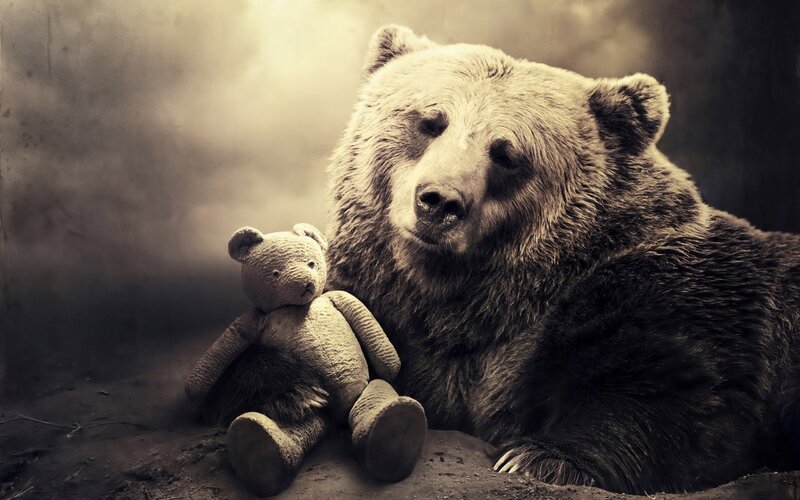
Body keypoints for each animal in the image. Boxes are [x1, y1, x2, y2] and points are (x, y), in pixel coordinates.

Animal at [324, 25, 800, 494]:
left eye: (506, 153)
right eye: (429, 121)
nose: (440, 201)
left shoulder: (663, 288)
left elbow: (675, 391)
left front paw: (535, 458)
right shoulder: (401, 315)